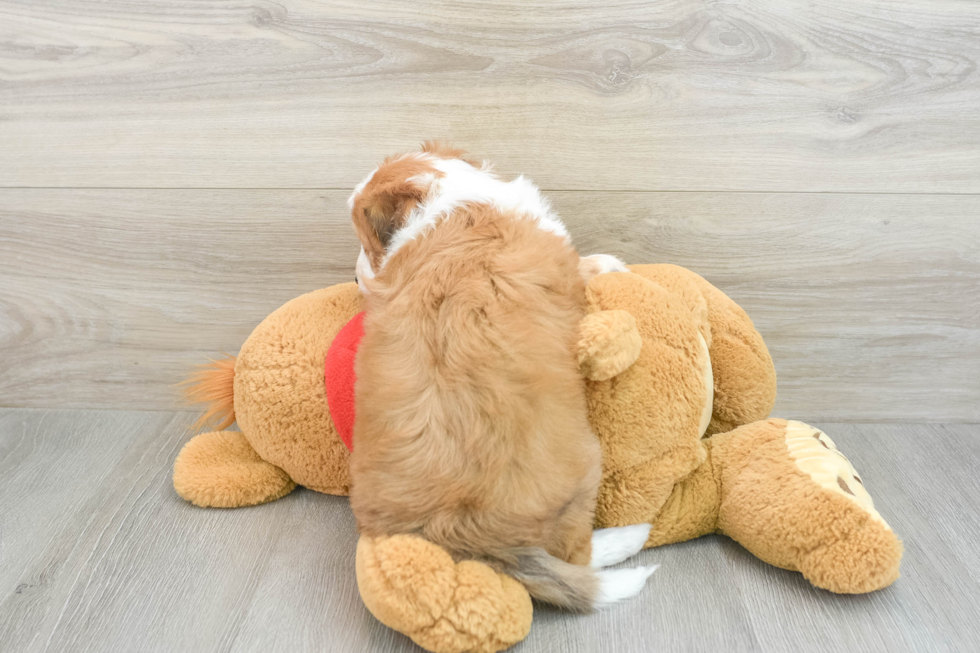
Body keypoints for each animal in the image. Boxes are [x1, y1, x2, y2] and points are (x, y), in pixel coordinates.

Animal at [348, 144, 656, 612]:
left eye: (366, 242)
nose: (353, 275)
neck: (452, 203)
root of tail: (454, 534)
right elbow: (583, 266)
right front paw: (610, 264)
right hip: (583, 473)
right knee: (576, 554)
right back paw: (625, 540)